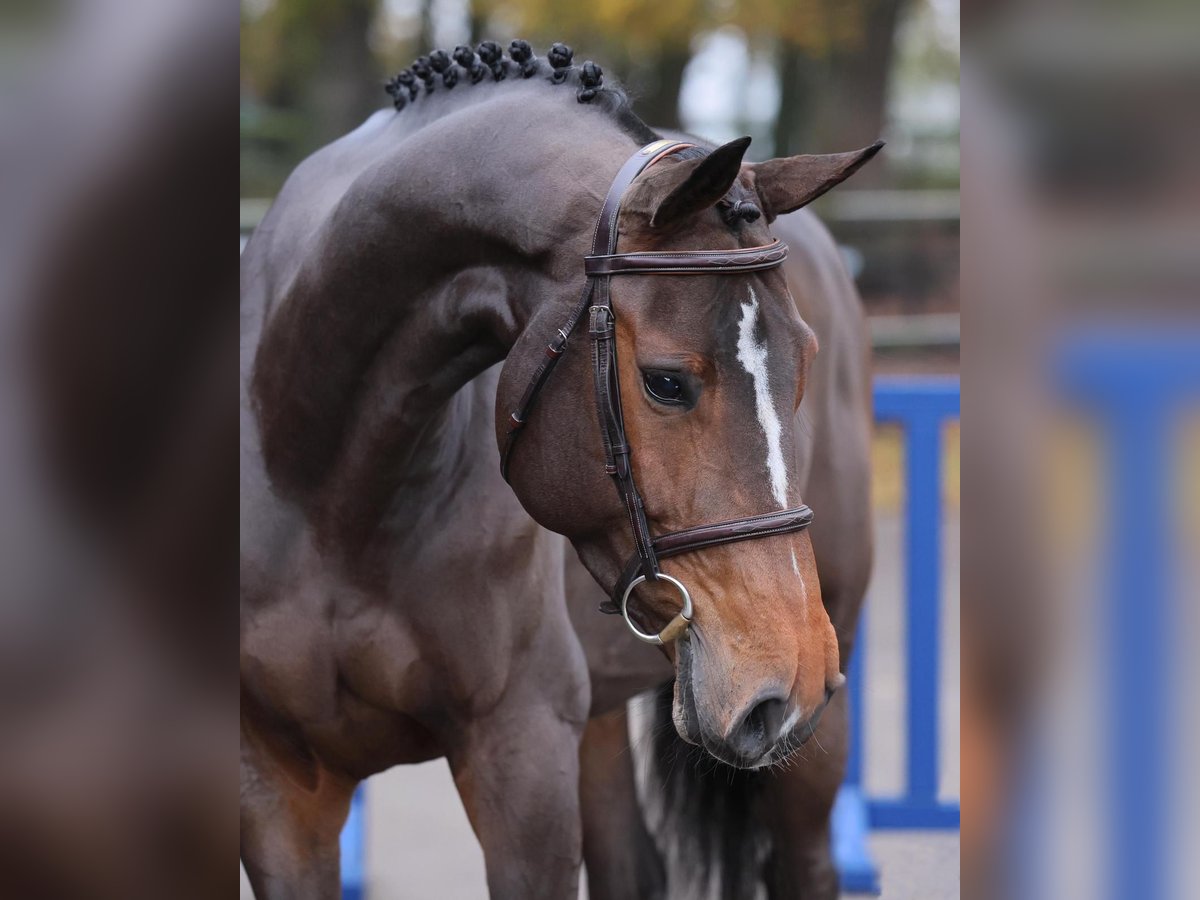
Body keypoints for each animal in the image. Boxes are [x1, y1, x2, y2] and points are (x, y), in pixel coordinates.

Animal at [238, 38, 878, 897]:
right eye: (665, 382)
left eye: (802, 364)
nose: (788, 678)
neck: (322, 488)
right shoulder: (279, 787)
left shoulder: (525, 754)